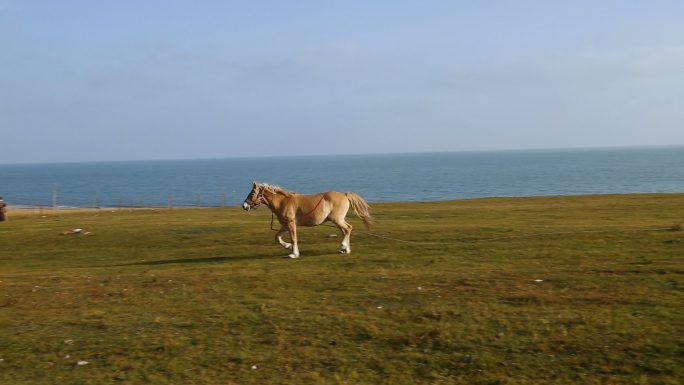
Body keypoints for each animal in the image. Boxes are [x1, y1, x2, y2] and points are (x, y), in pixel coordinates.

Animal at [243, 182, 374, 258]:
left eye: (252, 193)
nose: (244, 205)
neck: (283, 202)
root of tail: (345, 195)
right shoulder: (285, 225)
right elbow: (277, 238)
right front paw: (289, 247)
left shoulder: (291, 224)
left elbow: (293, 238)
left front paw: (294, 253)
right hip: (338, 220)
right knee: (345, 231)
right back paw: (345, 249)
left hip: (337, 220)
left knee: (348, 228)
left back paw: (343, 247)